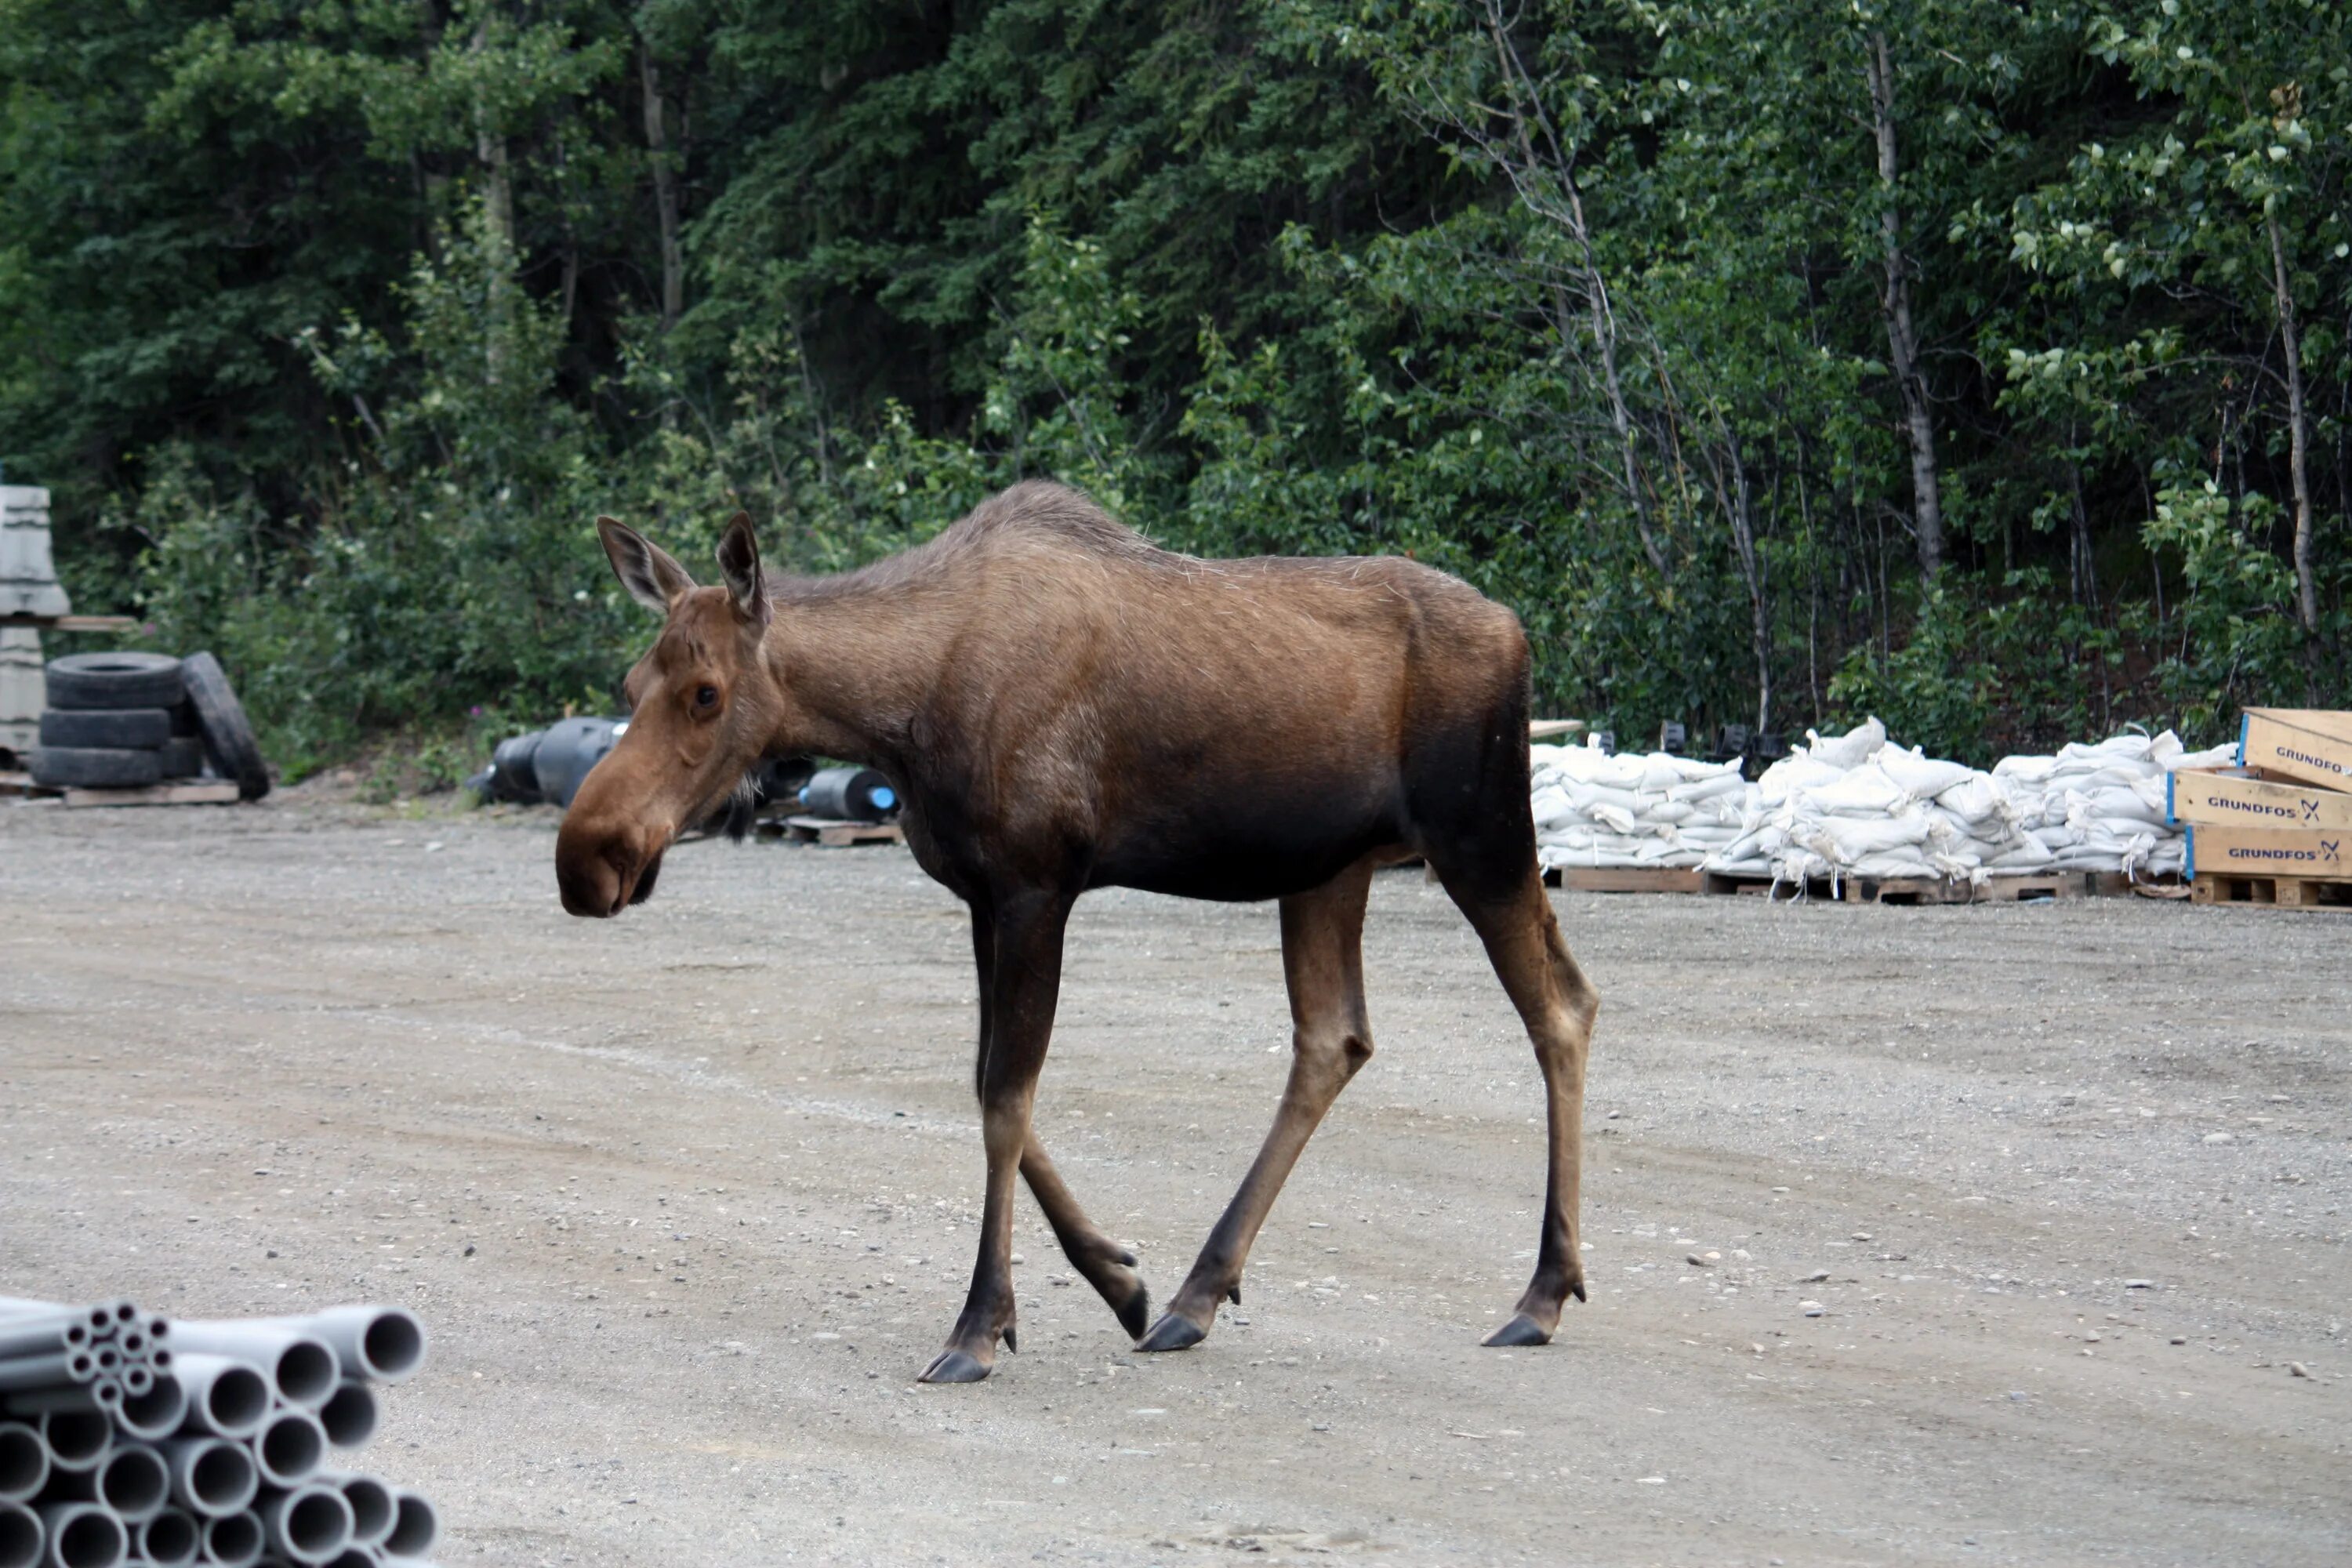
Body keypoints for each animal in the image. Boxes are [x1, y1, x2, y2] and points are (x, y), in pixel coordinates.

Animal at [560, 481, 1609, 1382]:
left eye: (704, 691)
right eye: (631, 678)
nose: (587, 857)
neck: (901, 717)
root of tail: (1516, 630)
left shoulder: (1036, 885)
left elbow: (1005, 1096)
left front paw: (981, 1324)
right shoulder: (983, 895)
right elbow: (988, 1083)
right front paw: (1119, 1278)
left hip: (1481, 834)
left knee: (1560, 1005)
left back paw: (1543, 1292)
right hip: (1328, 868)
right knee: (1336, 1035)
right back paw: (1195, 1294)